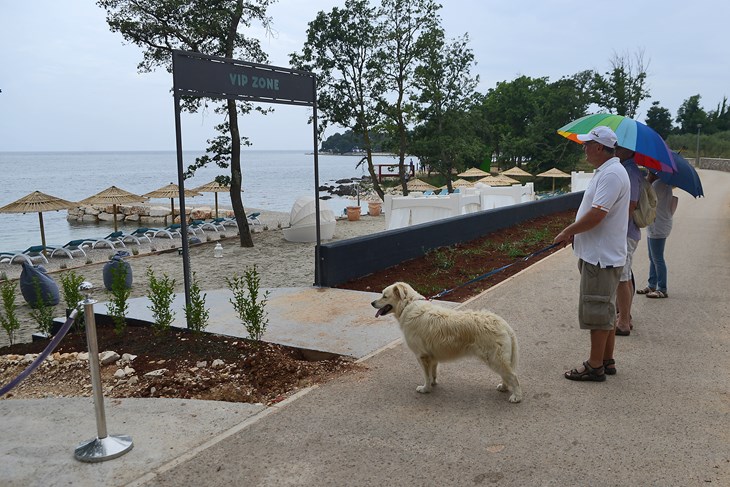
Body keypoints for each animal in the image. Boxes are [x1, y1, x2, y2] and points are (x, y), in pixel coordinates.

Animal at [372, 282, 520, 404]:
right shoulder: (431, 356)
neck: (408, 305)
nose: (372, 303)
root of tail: (504, 324)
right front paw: (433, 384)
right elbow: (432, 373)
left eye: (384, 296)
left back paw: (516, 396)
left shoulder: (422, 356)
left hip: (495, 358)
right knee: (506, 375)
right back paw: (504, 387)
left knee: (513, 377)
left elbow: (426, 376)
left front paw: (425, 389)